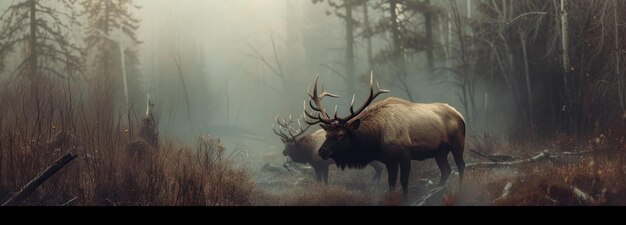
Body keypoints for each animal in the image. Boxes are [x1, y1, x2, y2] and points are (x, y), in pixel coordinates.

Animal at [302, 74, 464, 195]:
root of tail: (459, 114)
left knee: (461, 166)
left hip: (457, 143)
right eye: (327, 135)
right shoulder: (388, 159)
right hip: (440, 151)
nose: (321, 151)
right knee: (446, 170)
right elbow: (391, 184)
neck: (377, 138)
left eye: (341, 135)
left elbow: (404, 182)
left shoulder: (405, 153)